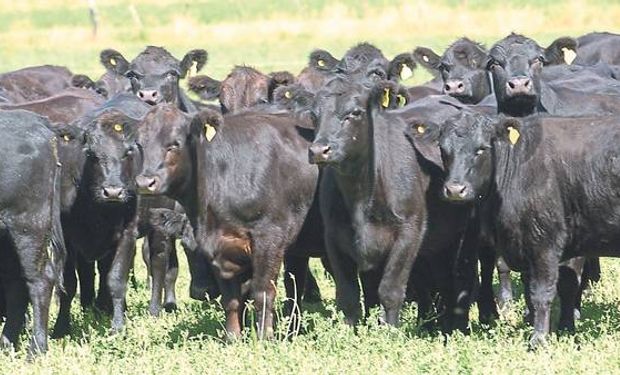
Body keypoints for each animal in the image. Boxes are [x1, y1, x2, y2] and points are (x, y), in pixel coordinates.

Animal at [136, 104, 320, 340]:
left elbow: (262, 292)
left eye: (174, 144)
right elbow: (232, 299)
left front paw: (264, 337)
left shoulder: (270, 239)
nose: (145, 183)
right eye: (139, 144)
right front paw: (233, 337)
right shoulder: (219, 247)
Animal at [436, 111, 620, 346]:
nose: (455, 190)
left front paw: (539, 339)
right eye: (443, 149)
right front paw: (552, 327)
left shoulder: (545, 242)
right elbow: (534, 290)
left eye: (482, 148)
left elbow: (542, 293)